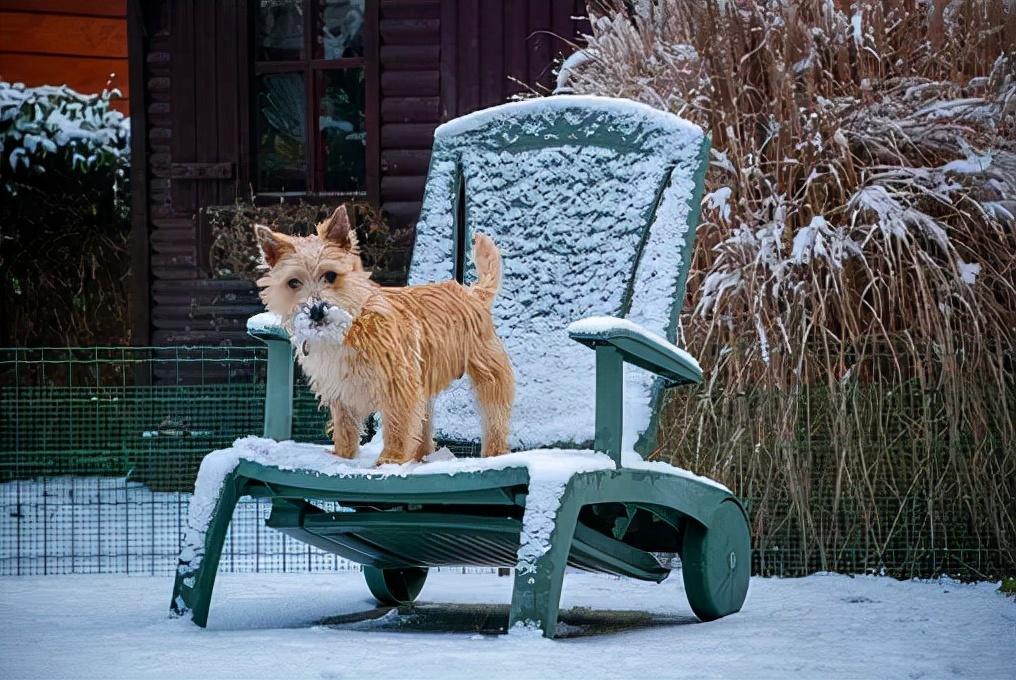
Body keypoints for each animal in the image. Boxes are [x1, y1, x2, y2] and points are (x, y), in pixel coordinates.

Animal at [250, 204, 512, 463]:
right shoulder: (341, 391)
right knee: (424, 428)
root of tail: (472, 293)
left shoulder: (398, 384)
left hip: (488, 375)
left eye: (331, 275)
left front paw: (391, 460)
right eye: (293, 282)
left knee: (495, 417)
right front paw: (343, 456)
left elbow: (398, 426)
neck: (349, 328)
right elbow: (345, 428)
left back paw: (494, 452)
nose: (316, 310)